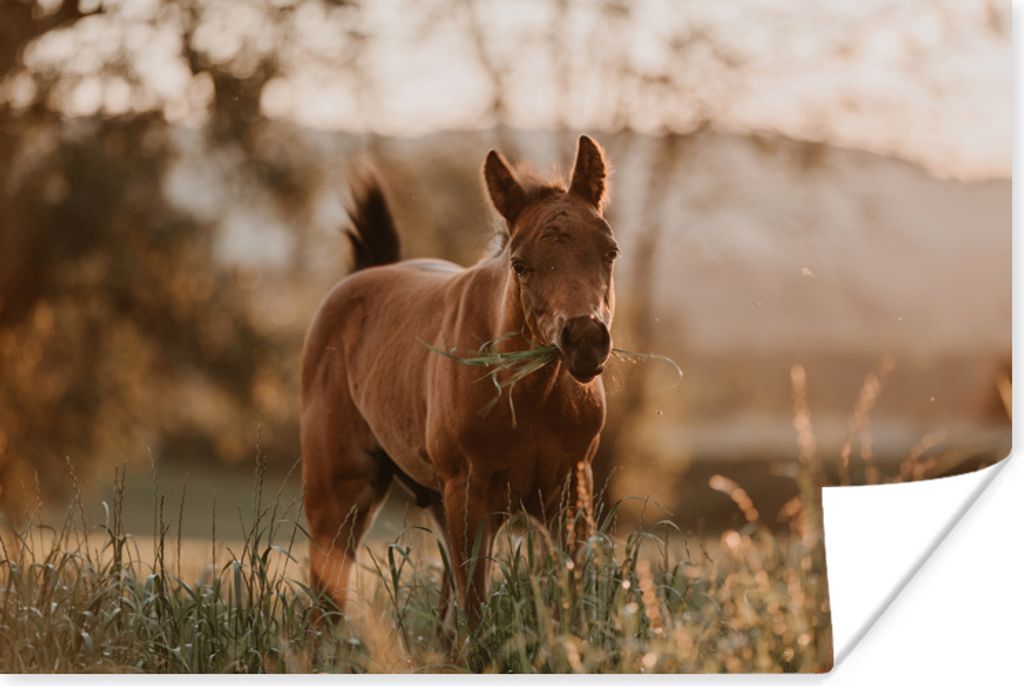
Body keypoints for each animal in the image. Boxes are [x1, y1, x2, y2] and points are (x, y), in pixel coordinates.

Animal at [300, 135, 618, 624]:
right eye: (519, 264)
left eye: (610, 251)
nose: (584, 339)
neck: (530, 398)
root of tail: (360, 277)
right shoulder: (472, 497)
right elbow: (476, 611)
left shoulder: (568, 498)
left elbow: (570, 601)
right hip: (339, 497)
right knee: (325, 607)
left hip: (437, 502)